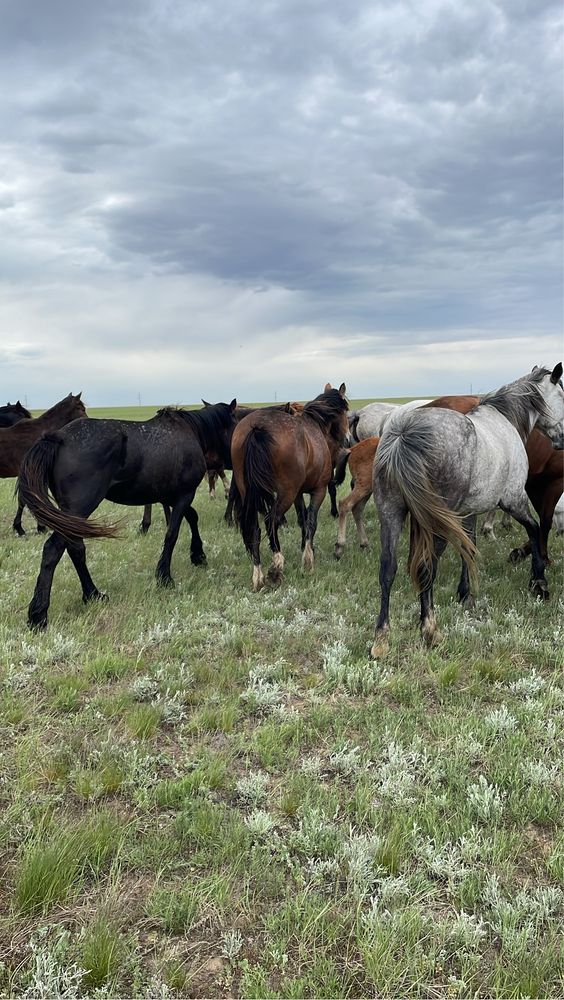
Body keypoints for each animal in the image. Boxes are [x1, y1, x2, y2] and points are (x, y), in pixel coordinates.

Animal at [18, 398, 236, 624]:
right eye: (235, 420)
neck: (189, 431)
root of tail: (58, 437)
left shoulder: (171, 496)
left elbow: (192, 517)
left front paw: (198, 555)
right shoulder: (184, 494)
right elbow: (172, 534)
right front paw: (164, 576)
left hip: (69, 516)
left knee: (75, 549)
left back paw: (93, 594)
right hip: (77, 510)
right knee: (53, 550)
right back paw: (39, 614)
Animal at [230, 380, 348, 584]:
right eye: (346, 411)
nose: (348, 439)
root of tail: (257, 428)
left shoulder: (299, 494)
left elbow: (302, 519)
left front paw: (306, 548)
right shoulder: (318, 490)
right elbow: (311, 521)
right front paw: (308, 558)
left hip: (249, 492)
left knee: (254, 527)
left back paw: (258, 574)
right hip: (286, 493)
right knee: (271, 521)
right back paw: (276, 564)